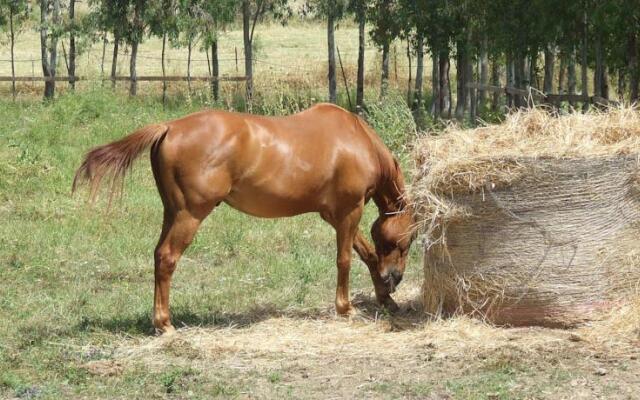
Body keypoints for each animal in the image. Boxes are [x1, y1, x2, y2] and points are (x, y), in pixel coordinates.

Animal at [75, 103, 416, 334]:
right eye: (408, 239)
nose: (395, 278)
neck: (355, 139)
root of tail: (169, 127)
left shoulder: (336, 215)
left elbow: (368, 256)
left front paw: (386, 300)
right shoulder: (349, 211)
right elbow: (345, 260)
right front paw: (346, 308)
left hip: (171, 213)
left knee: (159, 255)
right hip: (189, 215)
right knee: (167, 257)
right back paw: (165, 323)